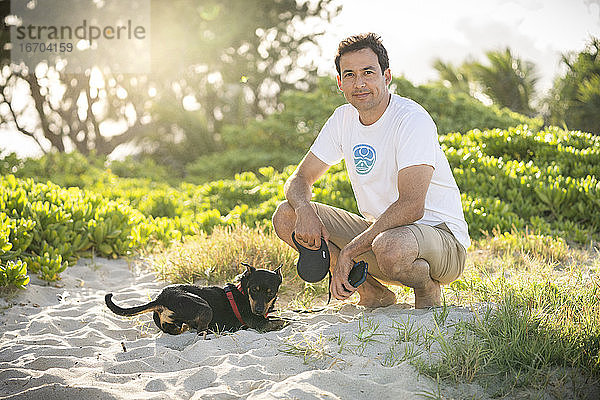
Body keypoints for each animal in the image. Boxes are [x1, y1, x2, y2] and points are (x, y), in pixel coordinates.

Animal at [105, 262, 286, 334]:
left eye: (270, 292)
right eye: (254, 290)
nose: (258, 310)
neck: (243, 293)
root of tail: (160, 299)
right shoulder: (259, 323)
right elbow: (283, 321)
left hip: (175, 323)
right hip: (204, 307)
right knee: (201, 332)